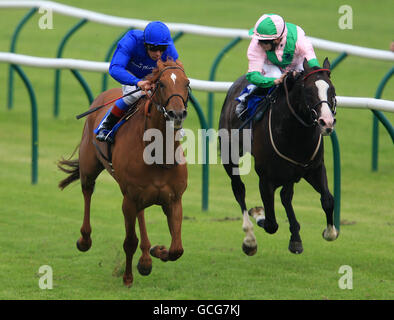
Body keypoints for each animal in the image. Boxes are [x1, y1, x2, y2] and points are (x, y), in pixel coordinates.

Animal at [56, 58, 189, 286]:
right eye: (162, 84)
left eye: (187, 83)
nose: (177, 114)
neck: (158, 154)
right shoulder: (129, 198)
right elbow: (129, 241)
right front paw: (127, 277)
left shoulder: (173, 199)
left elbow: (176, 249)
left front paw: (157, 251)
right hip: (90, 167)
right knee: (87, 192)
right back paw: (85, 239)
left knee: (141, 214)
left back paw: (146, 259)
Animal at [219, 58, 338, 256]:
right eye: (308, 91)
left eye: (332, 91)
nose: (326, 122)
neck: (296, 135)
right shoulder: (266, 178)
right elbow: (271, 223)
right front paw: (258, 214)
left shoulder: (314, 168)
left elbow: (328, 200)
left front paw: (329, 232)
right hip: (229, 154)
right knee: (239, 189)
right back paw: (250, 238)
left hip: (290, 172)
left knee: (285, 196)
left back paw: (295, 237)